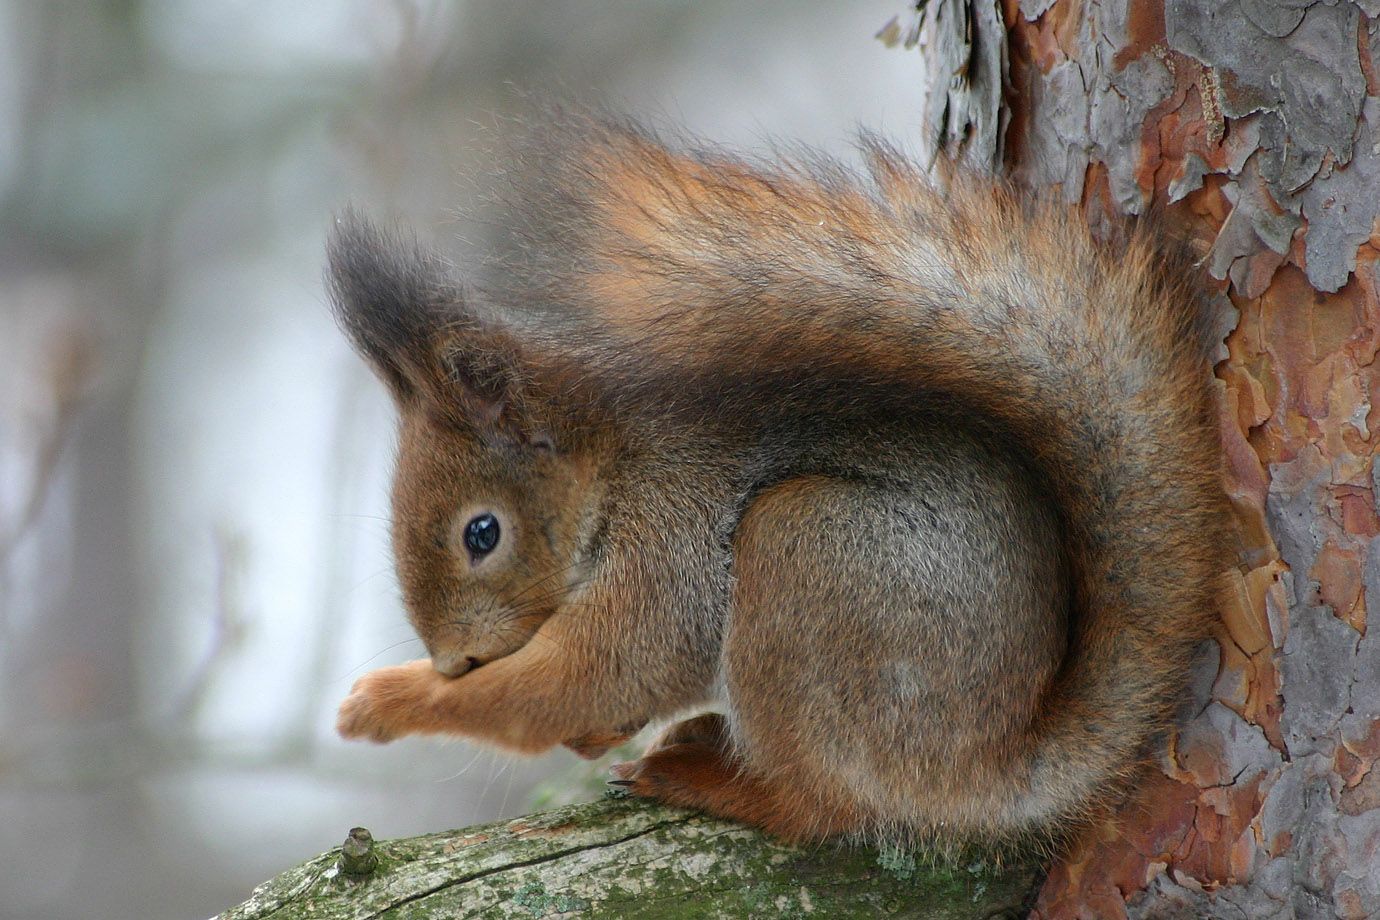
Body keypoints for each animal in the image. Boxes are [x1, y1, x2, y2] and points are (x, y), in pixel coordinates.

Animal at [325, 111, 1230, 844]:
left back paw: (706, 779)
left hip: (809, 562)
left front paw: (387, 701)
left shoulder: (669, 543)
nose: (454, 658)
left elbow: (587, 677)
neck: (614, 473)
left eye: (482, 533)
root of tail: (994, 763)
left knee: (822, 809)